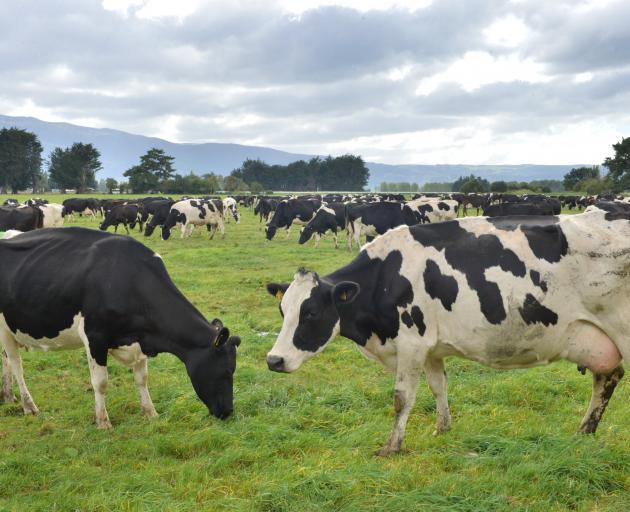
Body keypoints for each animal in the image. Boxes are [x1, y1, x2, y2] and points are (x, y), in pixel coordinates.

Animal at [0, 229, 242, 428]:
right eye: (226, 371)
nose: (228, 412)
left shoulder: (141, 339)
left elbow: (142, 378)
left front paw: (151, 413)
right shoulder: (95, 337)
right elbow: (100, 382)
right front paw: (103, 421)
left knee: (6, 360)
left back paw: (8, 396)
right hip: (5, 329)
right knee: (16, 364)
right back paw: (29, 406)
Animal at [266, 208, 630, 456]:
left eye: (311, 313)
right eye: (283, 310)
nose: (273, 360)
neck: (387, 276)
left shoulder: (411, 343)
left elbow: (402, 398)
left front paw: (391, 447)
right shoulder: (430, 348)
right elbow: (438, 387)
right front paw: (442, 429)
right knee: (607, 377)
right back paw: (584, 432)